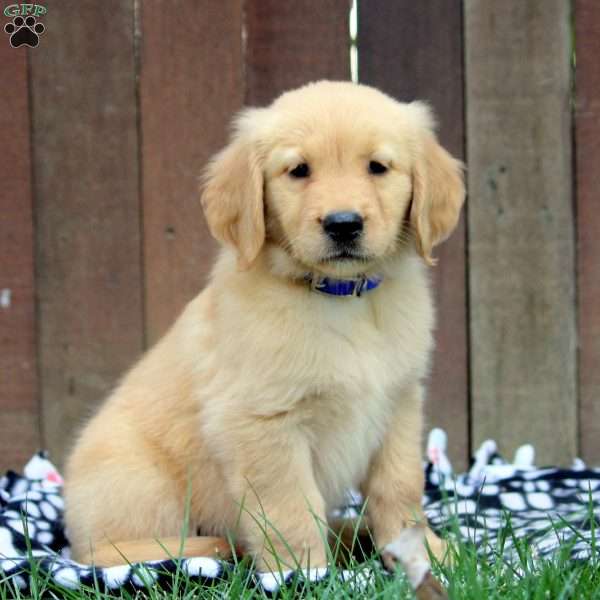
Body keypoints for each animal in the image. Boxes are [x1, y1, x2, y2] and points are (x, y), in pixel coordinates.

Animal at [64, 82, 464, 592]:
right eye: (298, 170)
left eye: (377, 166)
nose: (343, 223)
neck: (341, 298)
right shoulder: (262, 423)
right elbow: (290, 507)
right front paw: (306, 575)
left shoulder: (398, 407)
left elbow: (401, 487)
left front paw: (425, 554)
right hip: (137, 480)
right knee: (110, 554)